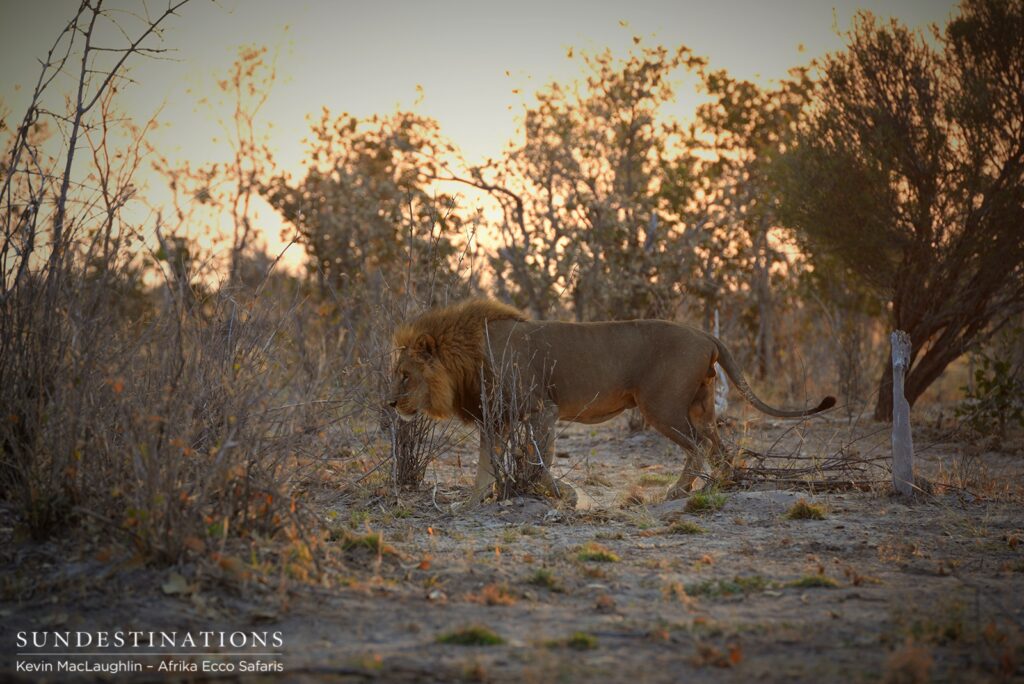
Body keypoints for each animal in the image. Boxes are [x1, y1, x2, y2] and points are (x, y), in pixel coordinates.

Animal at [388, 299, 835, 502]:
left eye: (405, 376)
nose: (391, 405)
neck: (468, 359)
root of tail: (707, 335)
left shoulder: (541, 409)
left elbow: (539, 461)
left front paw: (567, 496)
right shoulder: (495, 420)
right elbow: (486, 465)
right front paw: (471, 502)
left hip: (661, 407)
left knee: (698, 447)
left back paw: (676, 492)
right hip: (700, 406)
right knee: (718, 446)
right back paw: (723, 486)